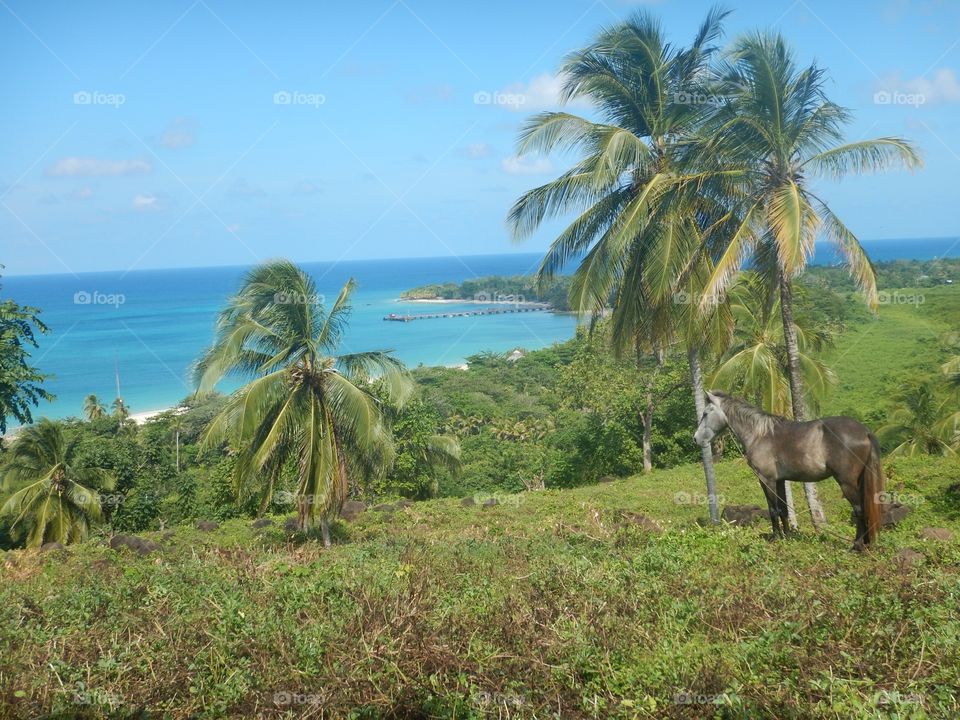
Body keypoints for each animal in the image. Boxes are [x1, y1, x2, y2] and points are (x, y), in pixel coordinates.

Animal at [693, 390, 885, 549]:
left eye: (705, 413)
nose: (695, 439)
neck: (760, 434)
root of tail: (864, 431)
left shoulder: (767, 480)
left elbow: (773, 509)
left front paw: (776, 537)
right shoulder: (780, 481)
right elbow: (783, 509)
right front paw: (787, 536)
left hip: (847, 483)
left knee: (859, 510)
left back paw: (857, 545)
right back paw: (866, 543)